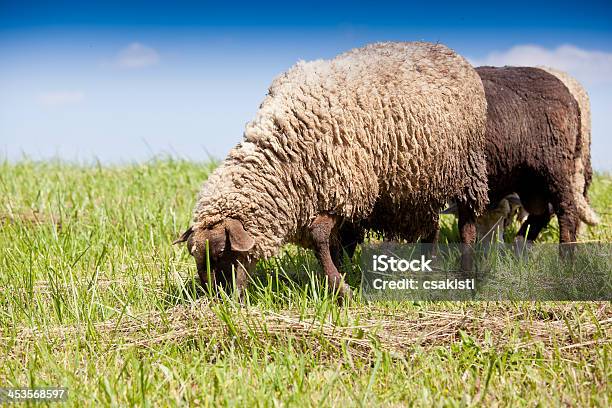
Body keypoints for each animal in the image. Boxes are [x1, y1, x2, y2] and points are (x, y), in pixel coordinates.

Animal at [176, 42, 488, 296]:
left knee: (466, 226)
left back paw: (466, 273)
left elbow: (320, 236)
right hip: (419, 186)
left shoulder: (344, 187)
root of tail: (449, 51)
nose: (218, 300)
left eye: (222, 252)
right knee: (431, 227)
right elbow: (333, 243)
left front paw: (340, 289)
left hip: (468, 169)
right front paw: (340, 277)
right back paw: (429, 268)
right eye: (196, 258)